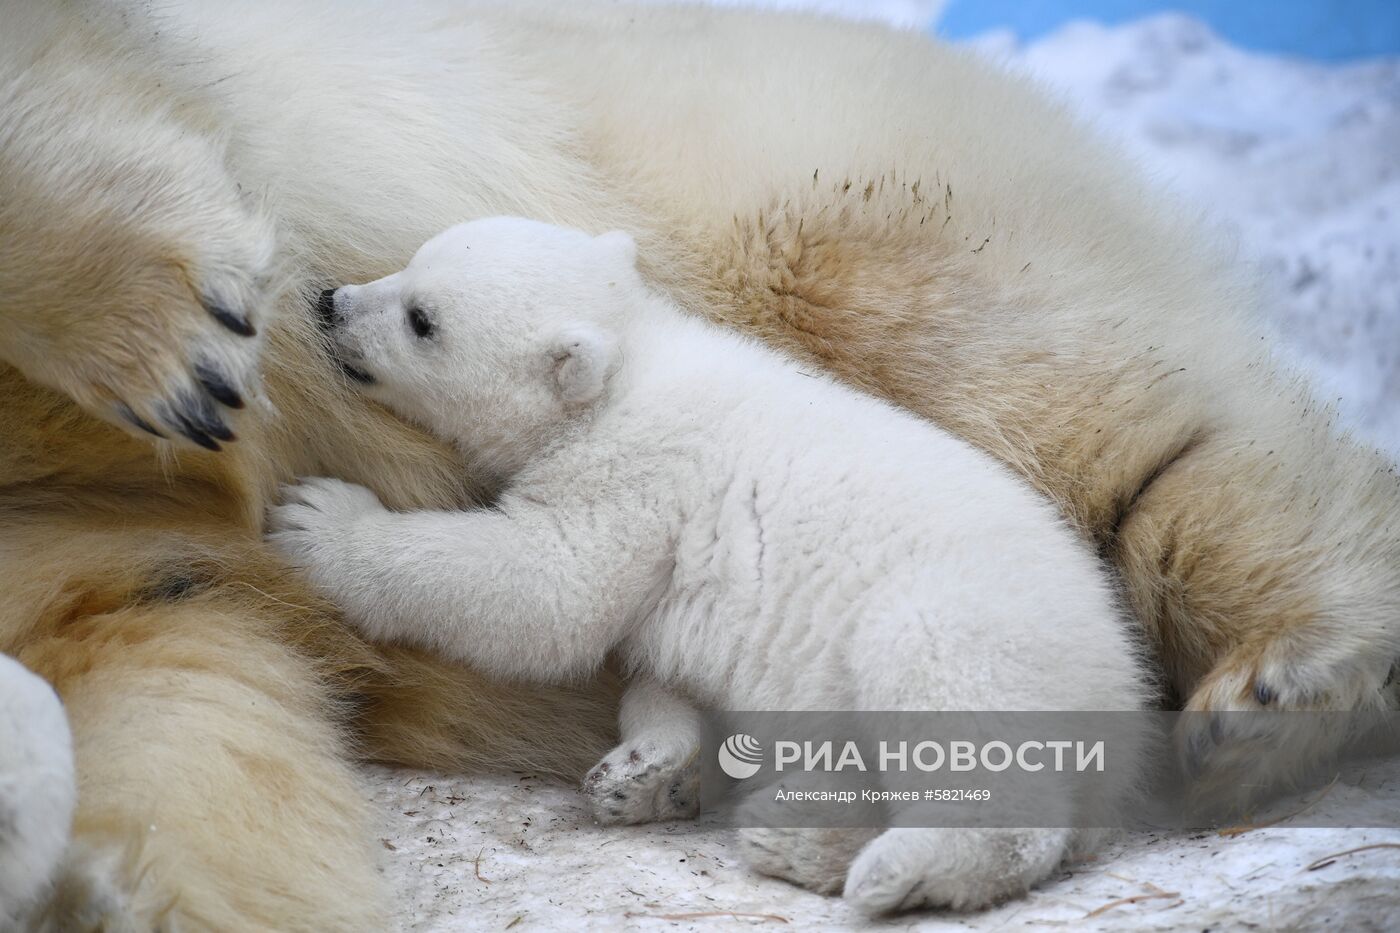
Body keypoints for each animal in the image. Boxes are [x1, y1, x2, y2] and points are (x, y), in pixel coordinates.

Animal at [0, 0, 1394, 924]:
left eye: (425, 317)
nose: (329, 302)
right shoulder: (102, 571)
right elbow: (186, 692)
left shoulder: (626, 477)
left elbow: (541, 588)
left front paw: (227, 401)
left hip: (778, 170)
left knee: (1048, 388)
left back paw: (1269, 684)